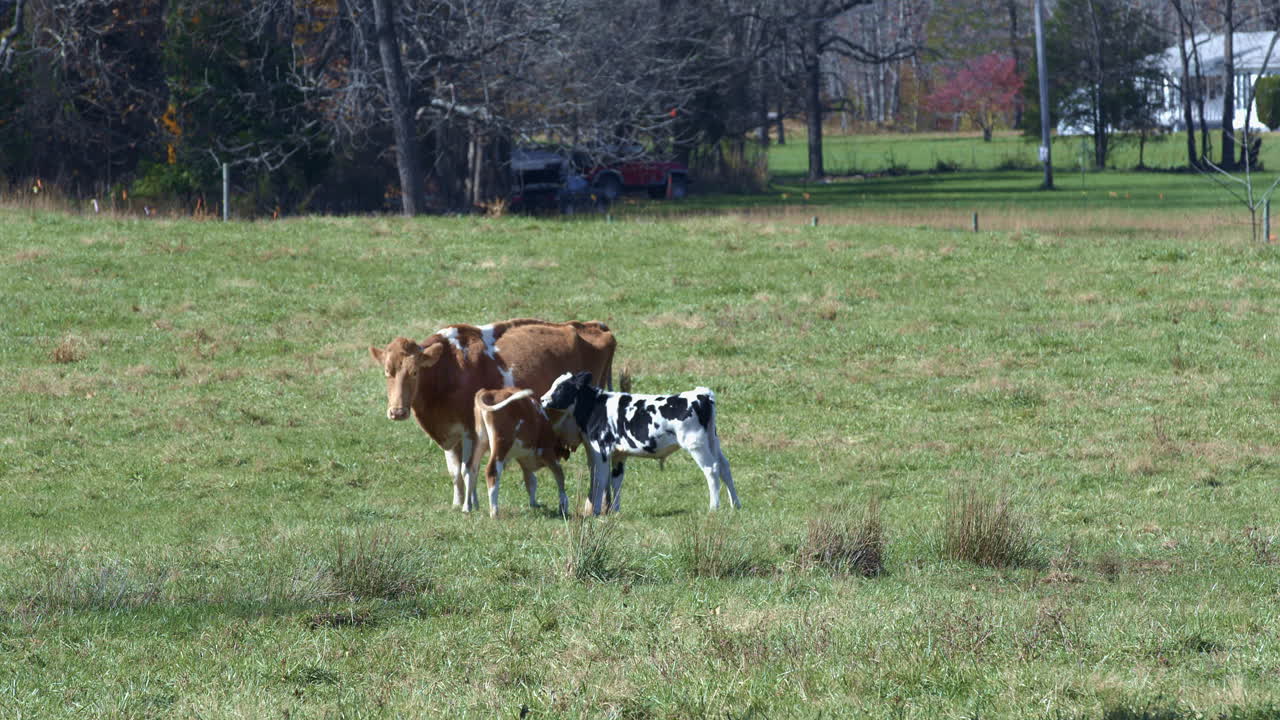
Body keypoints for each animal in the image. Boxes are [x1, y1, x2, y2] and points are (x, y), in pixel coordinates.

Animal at [471, 387, 571, 518]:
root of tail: (489, 392)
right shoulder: (546, 451)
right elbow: (559, 475)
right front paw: (563, 506)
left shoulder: (524, 461)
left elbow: (531, 481)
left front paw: (534, 504)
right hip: (502, 443)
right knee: (492, 471)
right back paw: (494, 512)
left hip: (480, 442)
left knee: (471, 469)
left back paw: (471, 506)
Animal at [540, 371, 741, 515]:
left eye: (562, 387)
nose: (542, 399)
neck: (595, 408)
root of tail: (701, 394)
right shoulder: (619, 454)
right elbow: (616, 480)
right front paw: (615, 511)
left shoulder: (602, 450)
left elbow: (599, 479)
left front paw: (596, 512)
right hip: (712, 440)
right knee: (725, 467)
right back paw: (735, 505)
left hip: (696, 444)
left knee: (712, 469)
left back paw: (714, 507)